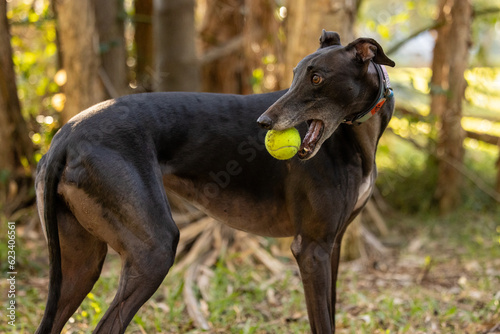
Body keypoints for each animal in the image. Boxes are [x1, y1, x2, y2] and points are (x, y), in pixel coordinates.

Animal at [35, 30, 394, 332]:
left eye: (317, 77)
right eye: (294, 75)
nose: (263, 122)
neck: (356, 137)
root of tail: (64, 137)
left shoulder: (332, 244)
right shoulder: (311, 248)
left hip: (80, 264)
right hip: (153, 249)